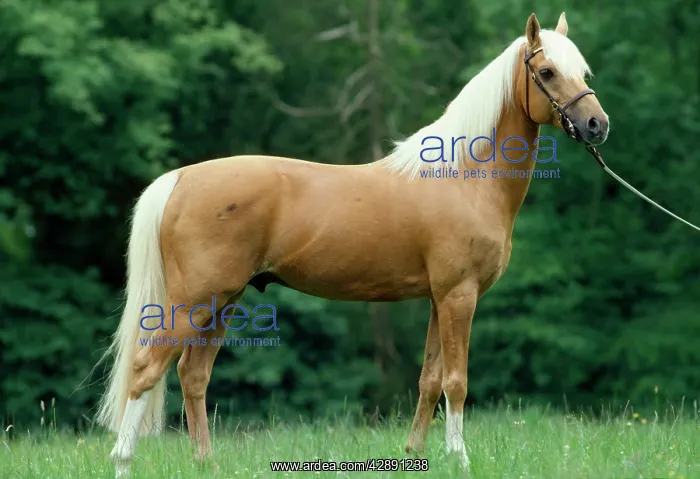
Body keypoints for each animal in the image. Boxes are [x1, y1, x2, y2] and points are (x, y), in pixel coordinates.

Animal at [95, 11, 609, 477]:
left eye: (583, 72)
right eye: (547, 72)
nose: (596, 125)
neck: (464, 176)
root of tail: (180, 179)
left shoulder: (437, 299)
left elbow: (429, 379)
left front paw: (415, 455)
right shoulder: (459, 295)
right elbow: (456, 382)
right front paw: (460, 460)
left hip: (222, 302)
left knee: (192, 375)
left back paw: (206, 463)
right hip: (194, 302)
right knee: (146, 368)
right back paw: (123, 463)